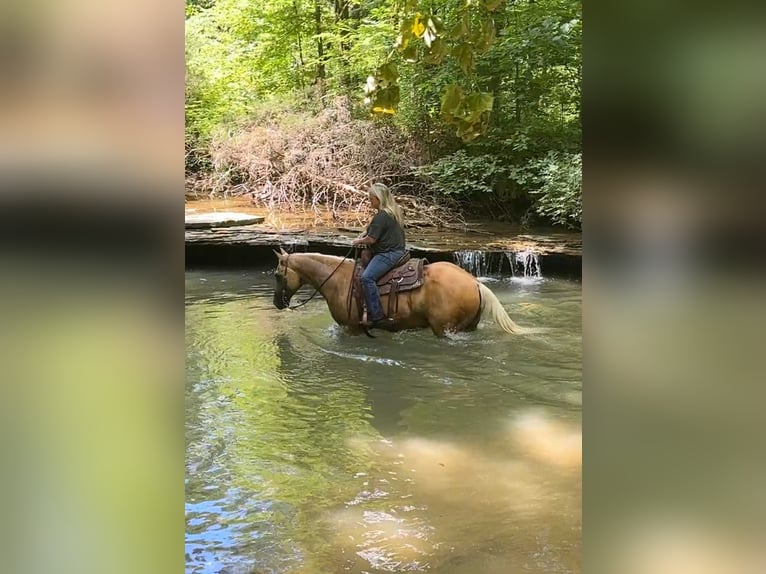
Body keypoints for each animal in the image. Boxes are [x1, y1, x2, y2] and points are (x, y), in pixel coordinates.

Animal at [272, 248, 529, 337]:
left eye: (277, 275)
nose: (277, 304)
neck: (338, 279)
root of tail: (474, 282)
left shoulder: (351, 328)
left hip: (445, 328)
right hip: (469, 326)